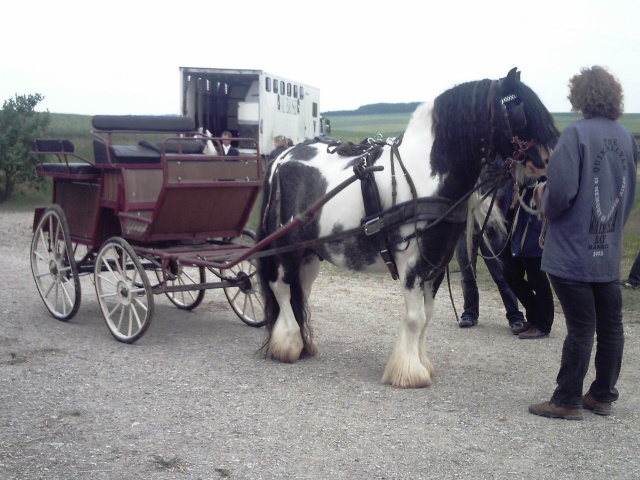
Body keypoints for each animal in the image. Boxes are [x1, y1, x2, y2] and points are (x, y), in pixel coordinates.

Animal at [258, 67, 556, 388]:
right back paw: (288, 344)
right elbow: (415, 318)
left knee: (300, 291)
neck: (425, 174)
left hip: (310, 254)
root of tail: (282, 157)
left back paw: (304, 342)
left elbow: (427, 315)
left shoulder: (435, 262)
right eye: (520, 110)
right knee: (281, 289)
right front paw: (409, 373)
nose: (547, 163)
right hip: (285, 248)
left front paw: (420, 363)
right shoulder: (411, 262)